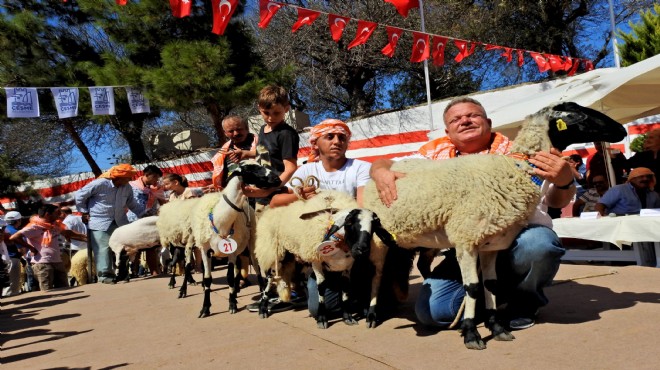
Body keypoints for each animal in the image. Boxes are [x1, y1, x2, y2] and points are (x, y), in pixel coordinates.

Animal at [253, 192, 398, 328]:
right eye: (349, 223)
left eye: (374, 227)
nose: (361, 249)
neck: (339, 242)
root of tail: (271, 211)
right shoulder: (316, 261)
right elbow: (321, 287)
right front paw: (322, 318)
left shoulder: (347, 266)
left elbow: (345, 288)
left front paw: (347, 316)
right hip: (275, 254)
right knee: (269, 280)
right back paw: (262, 308)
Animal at [364, 102, 628, 350]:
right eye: (577, 115)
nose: (622, 130)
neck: (515, 171)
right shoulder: (466, 240)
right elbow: (472, 287)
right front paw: (471, 333)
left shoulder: (492, 243)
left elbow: (489, 285)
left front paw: (497, 327)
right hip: (379, 240)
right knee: (377, 275)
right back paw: (372, 315)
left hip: (422, 238)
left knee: (420, 264)